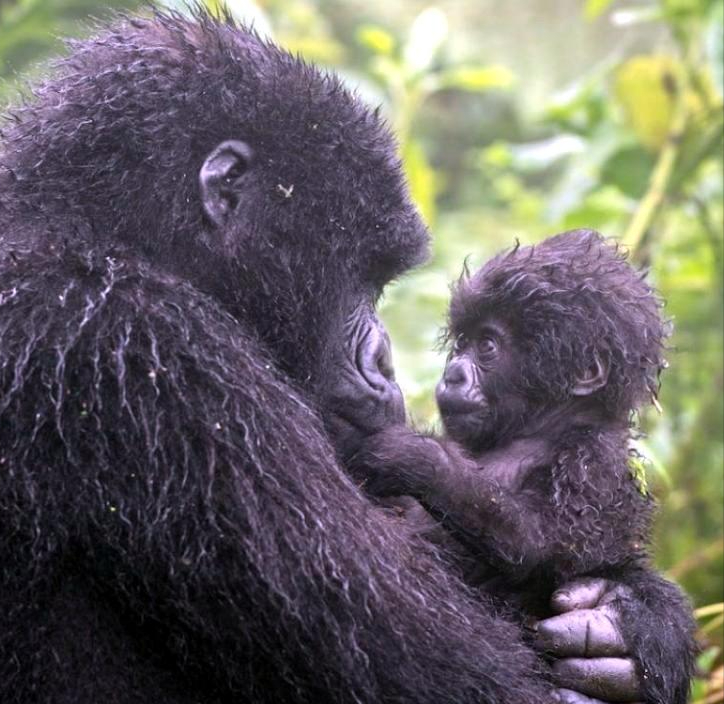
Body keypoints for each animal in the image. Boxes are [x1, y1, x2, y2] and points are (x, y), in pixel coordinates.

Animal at [350, 228, 668, 612]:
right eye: (462, 343)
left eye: (487, 346)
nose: (453, 375)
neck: (542, 428)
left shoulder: (594, 461)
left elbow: (540, 545)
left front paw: (416, 457)